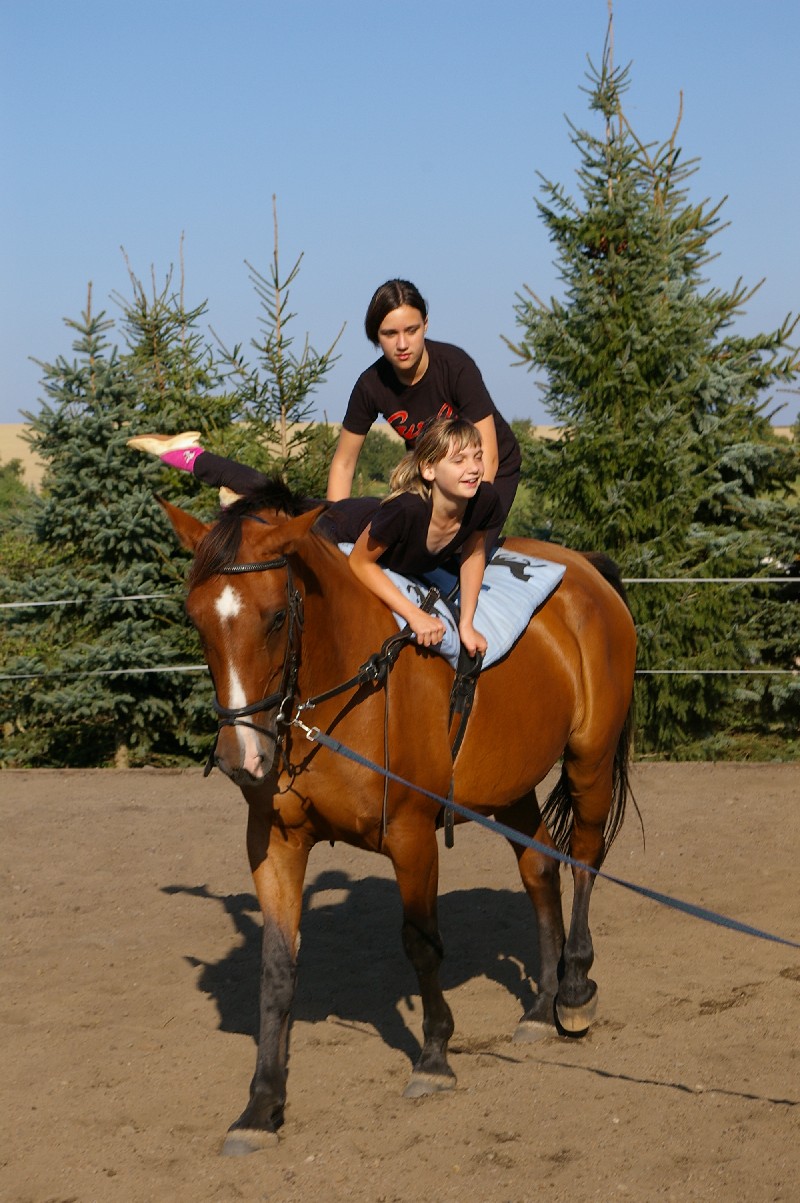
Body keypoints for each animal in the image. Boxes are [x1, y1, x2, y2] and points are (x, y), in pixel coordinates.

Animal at [160, 480, 637, 1154]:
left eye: (276, 617)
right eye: (196, 618)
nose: (241, 757)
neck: (340, 684)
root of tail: (587, 570)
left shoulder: (410, 834)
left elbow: (421, 943)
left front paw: (434, 1058)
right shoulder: (274, 841)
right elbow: (277, 965)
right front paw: (261, 1106)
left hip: (588, 760)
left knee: (584, 862)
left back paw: (572, 992)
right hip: (509, 782)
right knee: (540, 868)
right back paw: (542, 1006)